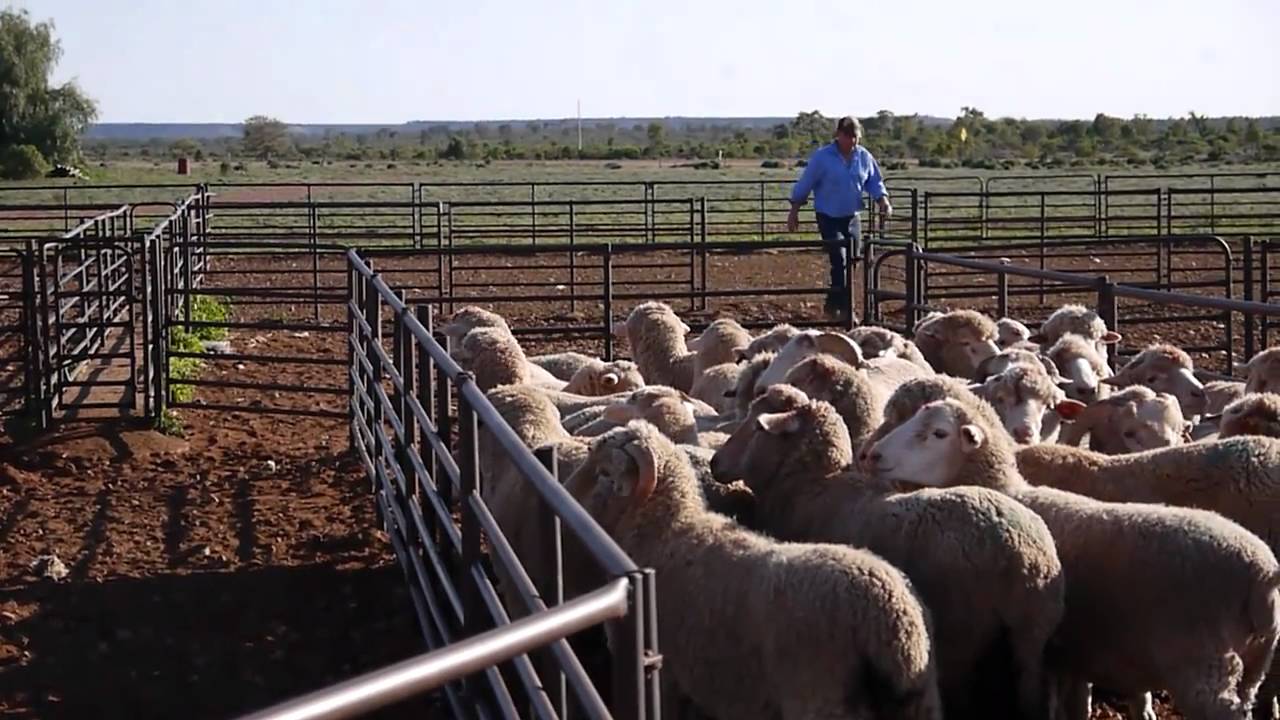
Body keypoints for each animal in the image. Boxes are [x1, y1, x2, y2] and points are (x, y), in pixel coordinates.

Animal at [565, 420, 943, 720]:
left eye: (604, 473)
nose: (567, 494)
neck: (665, 531)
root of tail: (893, 620)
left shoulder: (670, 676)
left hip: (818, 699)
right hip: (920, 702)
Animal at [711, 386, 1065, 720]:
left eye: (756, 426)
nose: (715, 463)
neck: (811, 483)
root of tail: (1027, 559)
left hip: (964, 639)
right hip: (1030, 645)